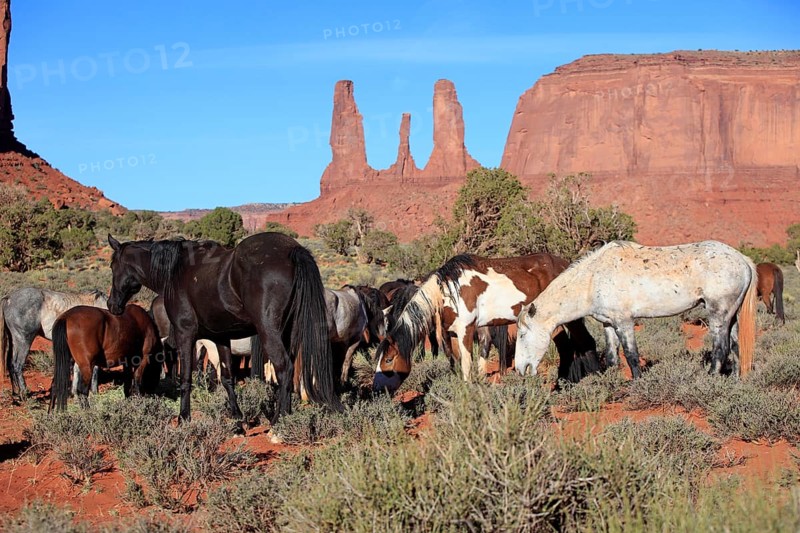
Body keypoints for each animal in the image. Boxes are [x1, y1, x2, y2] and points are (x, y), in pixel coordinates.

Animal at [107, 232, 340, 423]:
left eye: (112, 266)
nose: (112, 305)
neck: (176, 272)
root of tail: (291, 249)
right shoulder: (221, 338)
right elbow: (228, 378)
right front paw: (237, 418)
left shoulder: (184, 334)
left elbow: (186, 377)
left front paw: (183, 417)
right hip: (288, 333)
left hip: (270, 333)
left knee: (284, 369)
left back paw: (277, 421)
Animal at [374, 253, 600, 393]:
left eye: (388, 360)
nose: (377, 389)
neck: (448, 291)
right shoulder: (453, 335)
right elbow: (458, 361)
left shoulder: (466, 330)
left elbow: (467, 364)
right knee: (566, 348)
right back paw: (561, 385)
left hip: (572, 319)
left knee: (587, 342)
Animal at [514, 241, 758, 380]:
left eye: (523, 334)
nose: (520, 369)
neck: (593, 278)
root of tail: (742, 259)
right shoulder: (609, 323)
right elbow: (612, 356)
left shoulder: (624, 322)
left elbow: (631, 355)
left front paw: (637, 382)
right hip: (731, 317)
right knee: (736, 348)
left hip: (718, 314)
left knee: (721, 350)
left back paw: (709, 380)